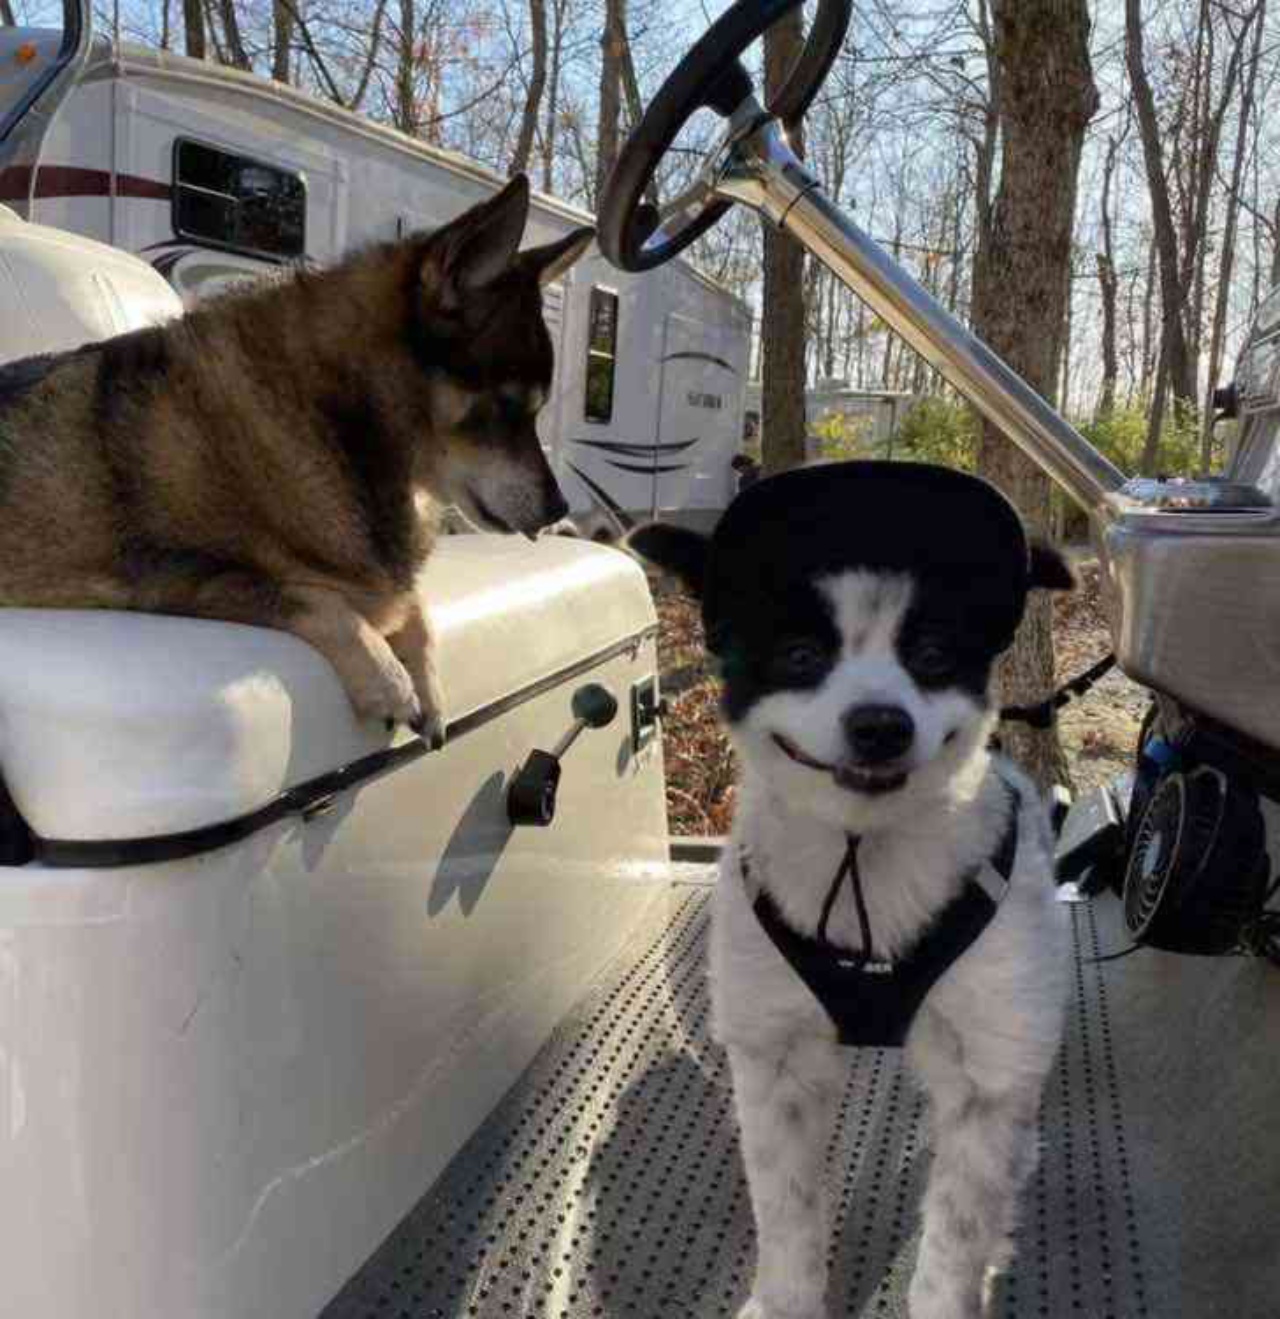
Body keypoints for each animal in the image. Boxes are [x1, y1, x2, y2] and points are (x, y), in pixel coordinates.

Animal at [633, 461, 1071, 1319]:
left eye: (932, 652)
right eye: (800, 654)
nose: (880, 724)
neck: (866, 857)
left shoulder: (986, 1073)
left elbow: (954, 1239)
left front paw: (954, 1285)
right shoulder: (774, 1056)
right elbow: (789, 1213)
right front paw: (785, 1299)